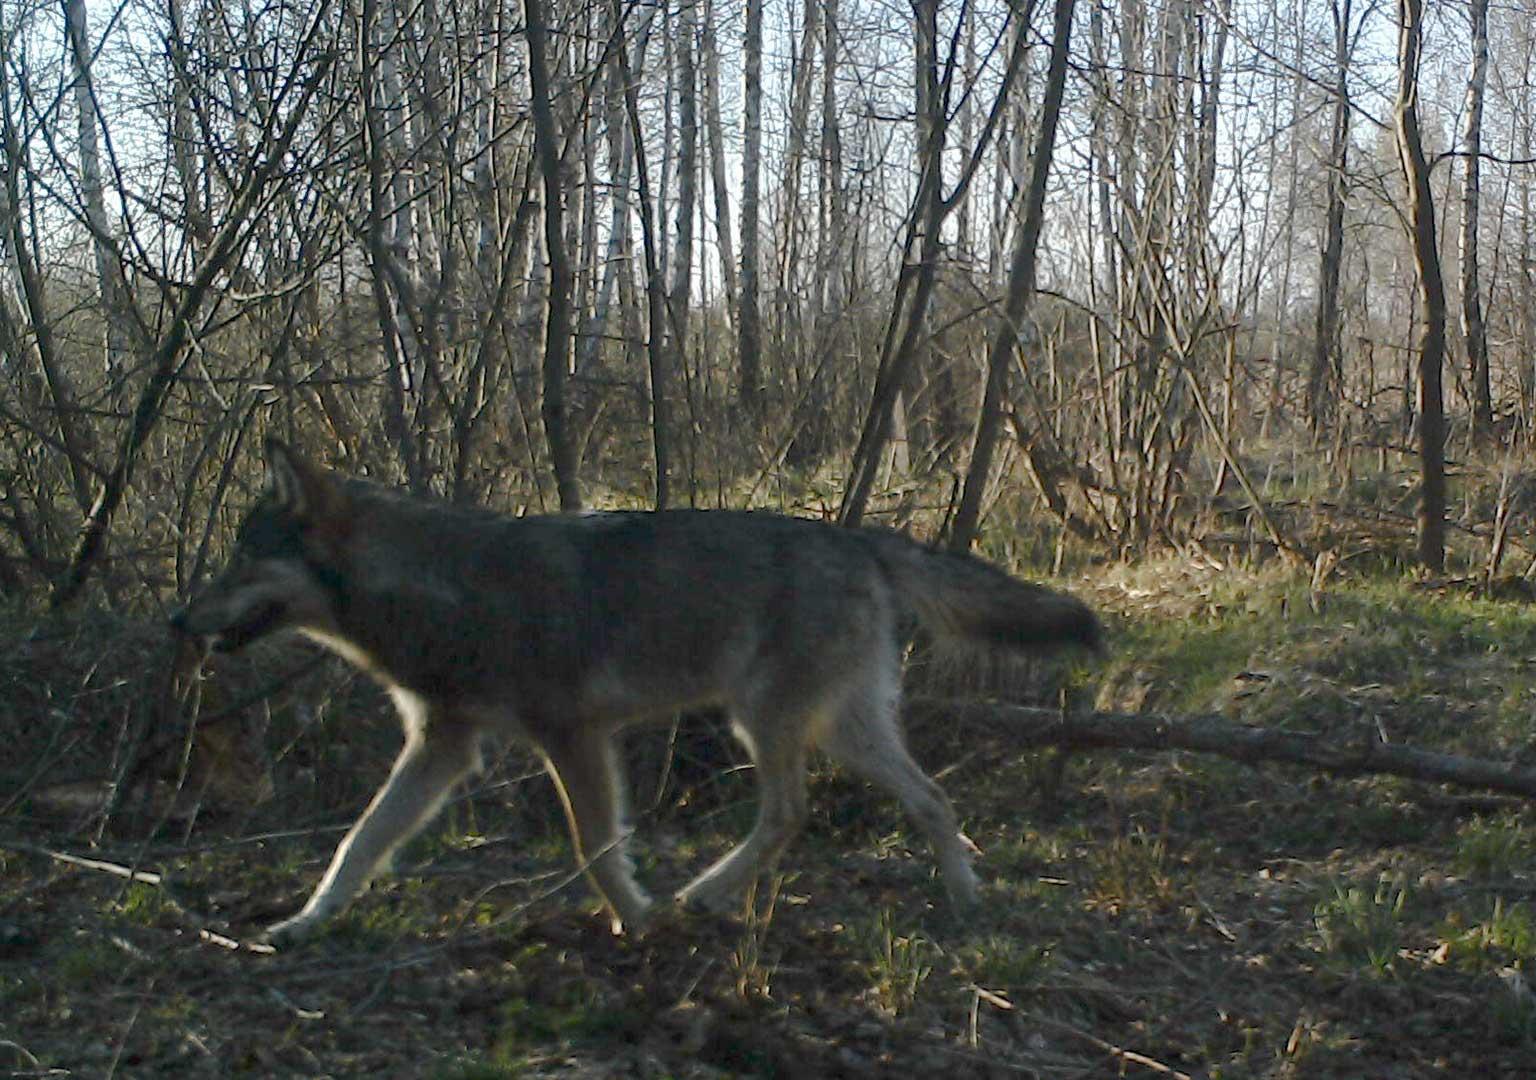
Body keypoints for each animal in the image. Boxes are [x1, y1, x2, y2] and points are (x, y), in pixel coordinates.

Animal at [171, 439, 1105, 946]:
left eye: (241, 562)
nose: (180, 619)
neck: (440, 591)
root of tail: (860, 538)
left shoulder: (573, 737)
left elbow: (594, 847)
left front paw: (637, 919)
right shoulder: (444, 747)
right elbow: (357, 845)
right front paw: (303, 924)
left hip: (764, 722)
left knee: (791, 815)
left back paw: (703, 897)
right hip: (840, 730)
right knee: (931, 799)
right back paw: (963, 899)